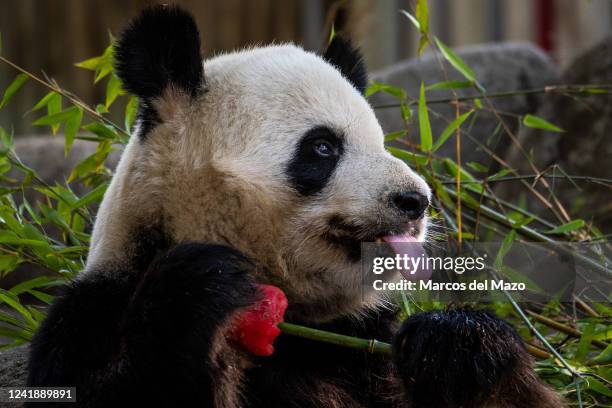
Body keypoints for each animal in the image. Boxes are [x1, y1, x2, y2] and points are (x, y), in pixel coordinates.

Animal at [28, 5, 564, 408]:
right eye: (323, 148)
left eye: (381, 141)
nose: (416, 201)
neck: (301, 320)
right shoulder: (94, 314)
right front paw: (203, 282)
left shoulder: (364, 339)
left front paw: (457, 343)